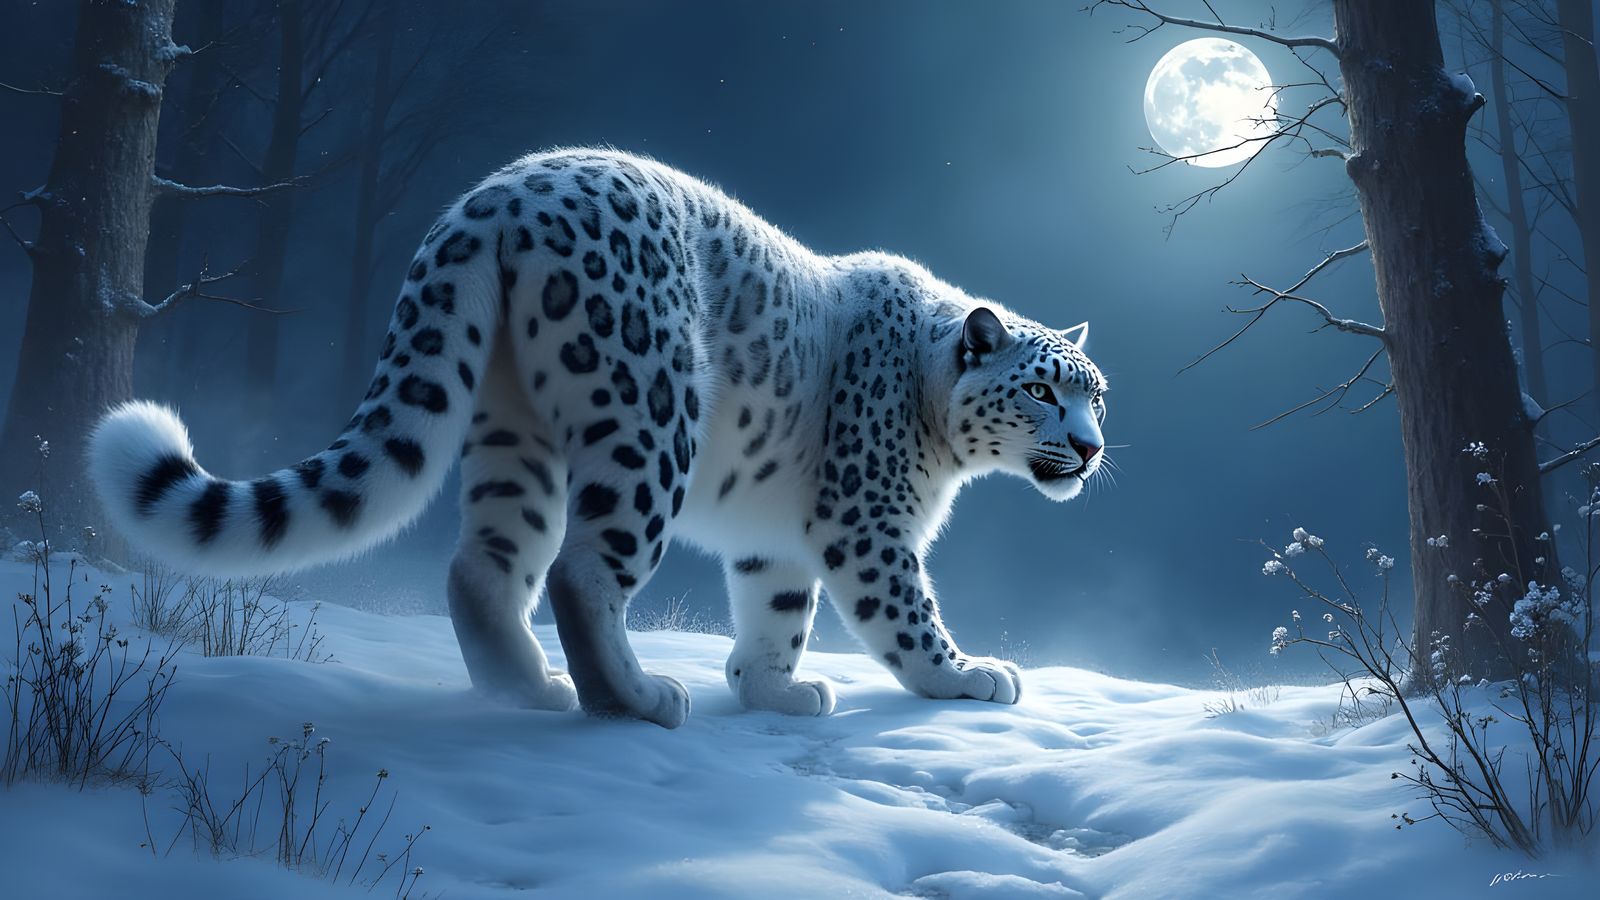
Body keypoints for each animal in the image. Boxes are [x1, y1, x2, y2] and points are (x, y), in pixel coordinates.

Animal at [88, 148, 1110, 728]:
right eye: (1043, 391)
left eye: (1099, 395)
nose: (1094, 449)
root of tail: (490, 200)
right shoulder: (867, 522)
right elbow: (903, 611)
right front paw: (967, 678)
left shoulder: (778, 541)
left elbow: (780, 613)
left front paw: (775, 690)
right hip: (648, 420)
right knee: (585, 570)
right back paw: (640, 700)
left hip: (514, 432)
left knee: (486, 564)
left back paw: (529, 690)